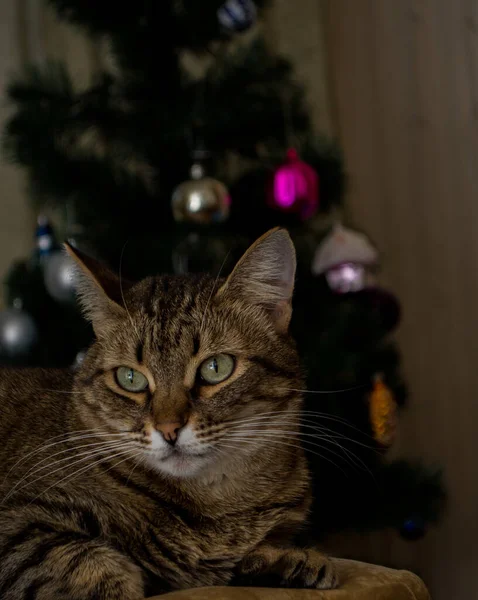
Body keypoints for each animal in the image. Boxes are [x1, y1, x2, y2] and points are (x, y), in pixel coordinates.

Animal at [0, 227, 336, 596]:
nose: (169, 429)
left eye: (216, 367)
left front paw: (289, 560)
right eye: (130, 378)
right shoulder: (17, 524)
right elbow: (89, 566)